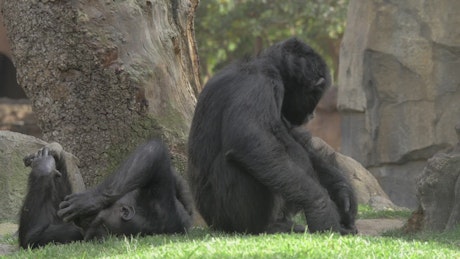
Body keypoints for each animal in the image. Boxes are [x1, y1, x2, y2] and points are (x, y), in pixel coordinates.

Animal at [18, 140, 192, 250]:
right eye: (86, 222)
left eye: (89, 219)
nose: (80, 221)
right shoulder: (76, 233)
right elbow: (37, 235)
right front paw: (56, 152)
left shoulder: (157, 204)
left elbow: (153, 152)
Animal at [189, 38, 358, 236]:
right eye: (316, 94)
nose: (313, 114)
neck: (271, 68)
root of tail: (211, 223)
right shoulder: (256, 84)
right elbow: (249, 138)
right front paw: (322, 208)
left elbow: (296, 138)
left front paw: (342, 191)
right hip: (224, 215)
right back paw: (268, 226)